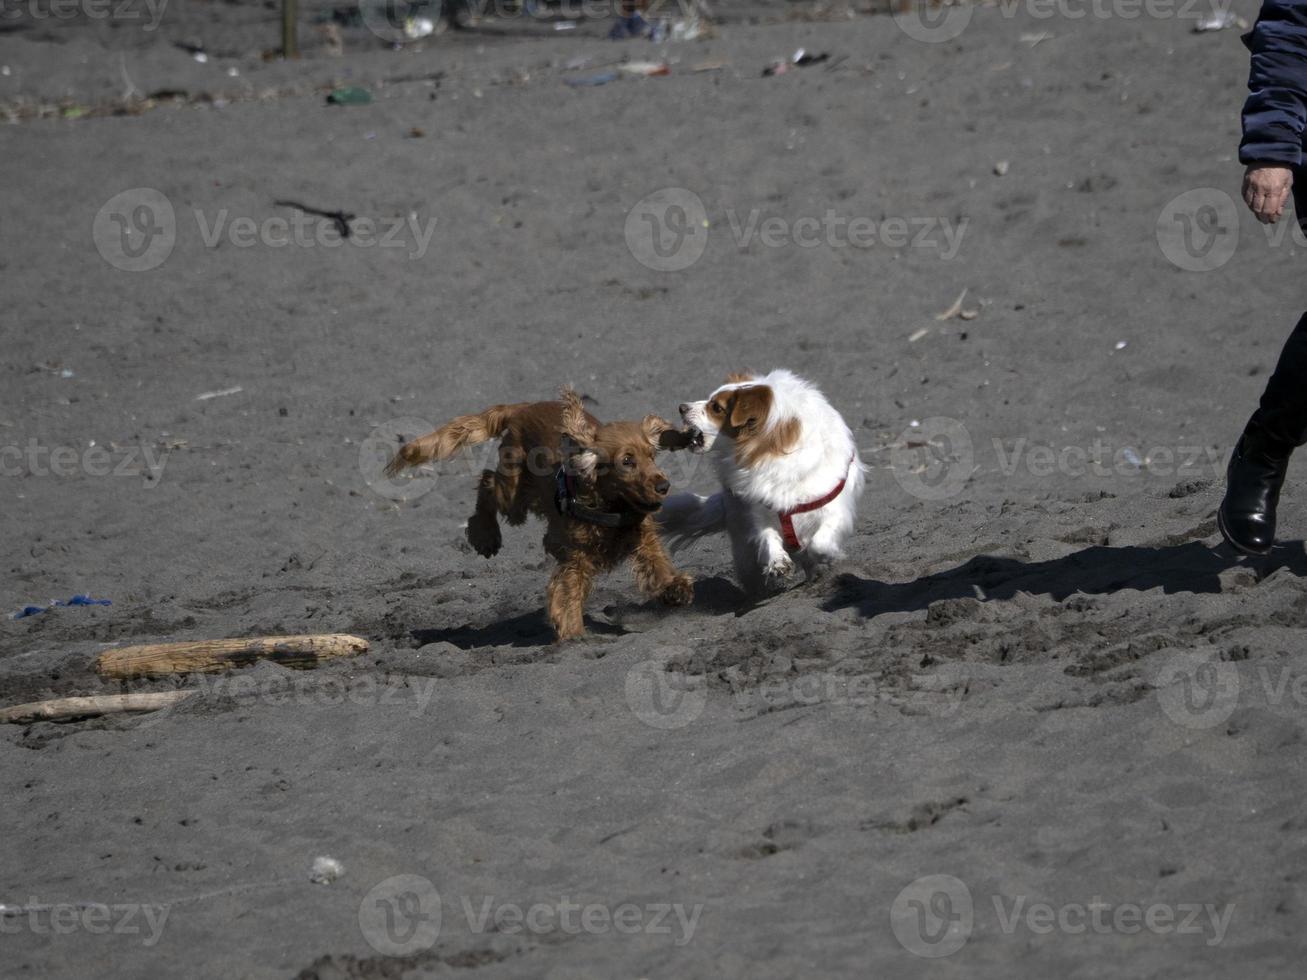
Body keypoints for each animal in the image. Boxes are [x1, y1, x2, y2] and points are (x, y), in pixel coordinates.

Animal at [658, 371, 862, 595]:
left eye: (716, 407)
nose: (681, 407)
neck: (773, 454)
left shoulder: (834, 510)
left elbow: (820, 544)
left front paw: (820, 557)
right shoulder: (759, 510)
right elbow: (767, 538)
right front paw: (777, 562)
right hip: (742, 544)